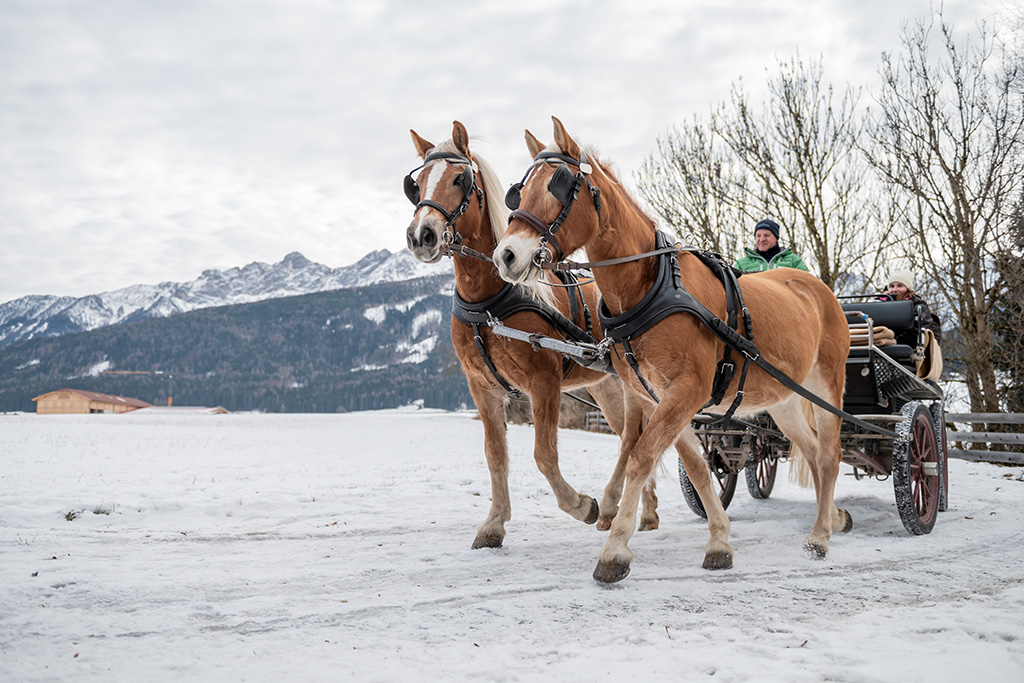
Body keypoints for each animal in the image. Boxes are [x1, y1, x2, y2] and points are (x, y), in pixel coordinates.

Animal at [403, 121, 659, 548]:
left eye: (458, 179)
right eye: (417, 184)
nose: (421, 235)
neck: (488, 302)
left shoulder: (543, 381)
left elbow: (543, 455)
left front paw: (581, 505)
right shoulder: (483, 386)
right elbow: (495, 455)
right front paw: (494, 523)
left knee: (635, 435)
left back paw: (614, 505)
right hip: (605, 386)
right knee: (637, 433)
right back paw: (648, 508)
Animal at [491, 117, 851, 581]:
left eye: (560, 184)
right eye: (517, 191)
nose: (506, 255)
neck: (650, 286)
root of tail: (817, 287)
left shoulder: (686, 391)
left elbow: (640, 457)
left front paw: (615, 550)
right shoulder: (658, 396)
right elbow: (695, 467)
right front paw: (719, 539)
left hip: (826, 384)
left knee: (829, 455)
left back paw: (820, 535)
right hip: (784, 397)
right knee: (810, 449)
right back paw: (833, 517)